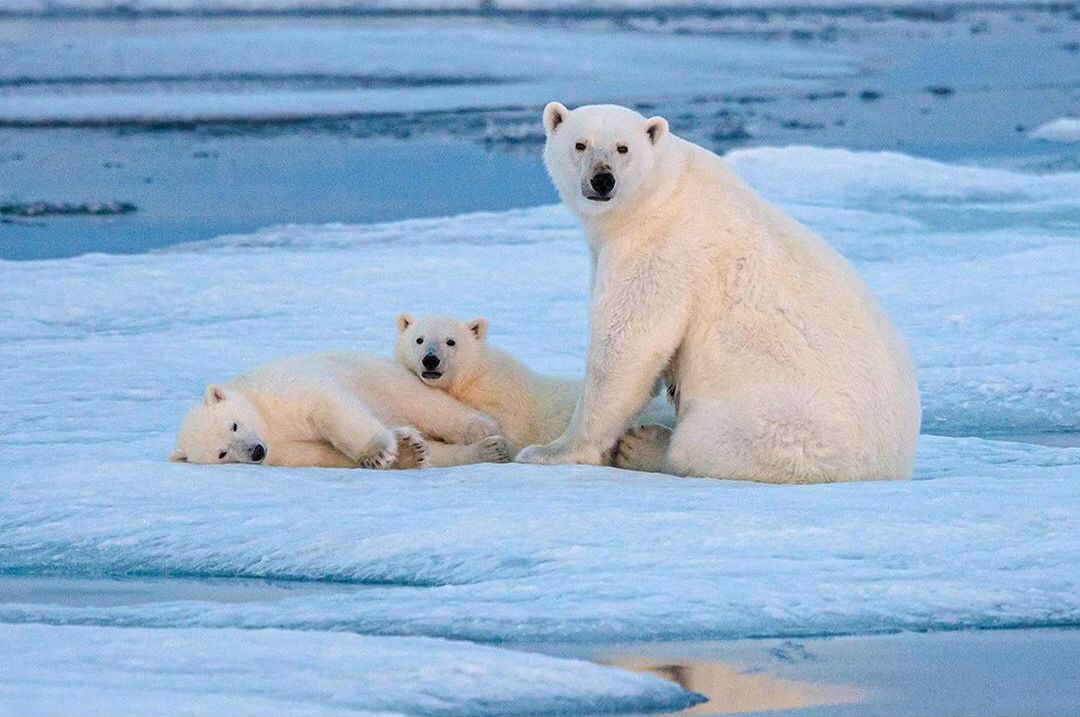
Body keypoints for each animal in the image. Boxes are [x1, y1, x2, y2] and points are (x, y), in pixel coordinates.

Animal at [170, 351, 509, 469]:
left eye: (234, 424)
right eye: (222, 453)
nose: (255, 451)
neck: (267, 421)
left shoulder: (284, 390)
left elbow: (331, 410)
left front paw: (378, 452)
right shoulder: (283, 452)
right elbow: (321, 454)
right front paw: (405, 452)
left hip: (379, 376)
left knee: (424, 403)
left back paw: (482, 430)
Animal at [394, 313, 673, 458]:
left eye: (451, 341)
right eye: (419, 339)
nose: (431, 360)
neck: (470, 379)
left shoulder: (500, 397)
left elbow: (504, 429)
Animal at [516, 102, 921, 483]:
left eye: (622, 147)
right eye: (580, 144)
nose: (602, 180)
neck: (665, 191)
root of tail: (892, 463)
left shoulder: (664, 250)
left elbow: (629, 344)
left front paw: (550, 451)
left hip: (783, 422)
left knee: (702, 442)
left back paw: (645, 445)